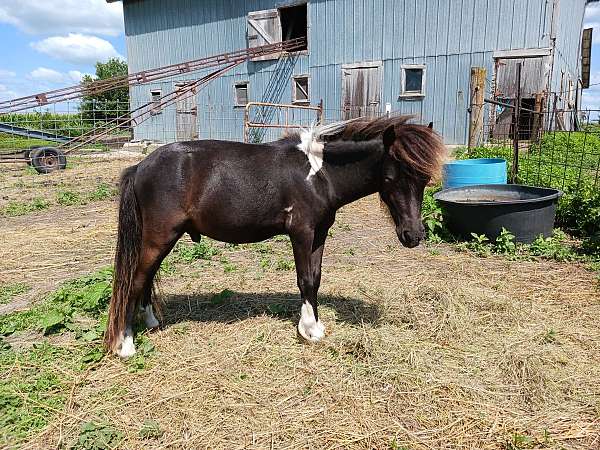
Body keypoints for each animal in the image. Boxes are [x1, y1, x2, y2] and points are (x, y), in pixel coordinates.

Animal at [106, 116, 446, 358]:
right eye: (390, 177)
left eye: (424, 179)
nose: (413, 235)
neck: (318, 174)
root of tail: (140, 166)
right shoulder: (301, 232)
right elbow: (305, 280)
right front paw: (309, 331)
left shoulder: (320, 233)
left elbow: (316, 279)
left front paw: (315, 323)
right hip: (159, 237)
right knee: (135, 280)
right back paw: (125, 345)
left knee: (146, 277)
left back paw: (151, 323)